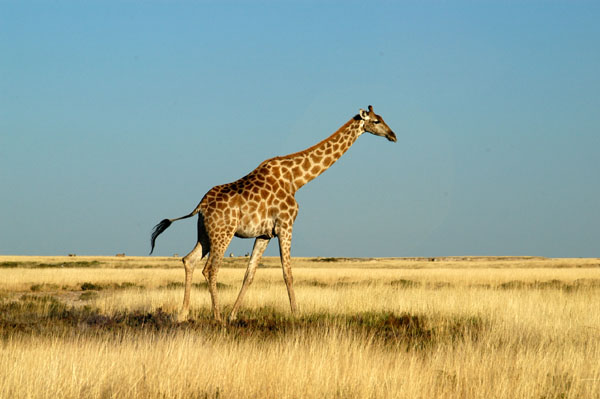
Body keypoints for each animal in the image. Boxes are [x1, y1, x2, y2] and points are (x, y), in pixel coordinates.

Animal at [150, 105, 396, 322]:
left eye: (382, 118)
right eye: (376, 121)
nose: (393, 135)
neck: (297, 179)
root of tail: (200, 205)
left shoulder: (264, 234)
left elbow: (249, 275)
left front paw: (234, 315)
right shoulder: (286, 225)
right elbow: (288, 272)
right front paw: (296, 314)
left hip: (205, 233)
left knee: (189, 260)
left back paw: (184, 314)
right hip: (223, 234)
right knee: (210, 270)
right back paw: (216, 317)